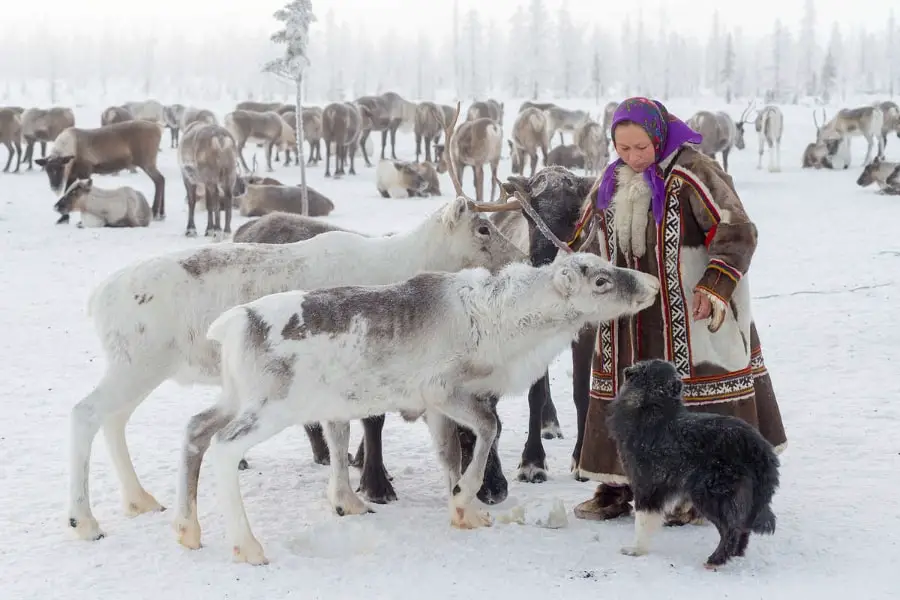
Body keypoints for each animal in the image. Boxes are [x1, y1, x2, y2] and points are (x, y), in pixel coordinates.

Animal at [608, 358, 784, 568]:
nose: (627, 369)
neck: (654, 405)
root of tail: (759, 449)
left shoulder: (646, 484)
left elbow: (643, 520)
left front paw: (636, 550)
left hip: (710, 493)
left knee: (731, 528)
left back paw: (716, 559)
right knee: (742, 527)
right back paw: (735, 554)